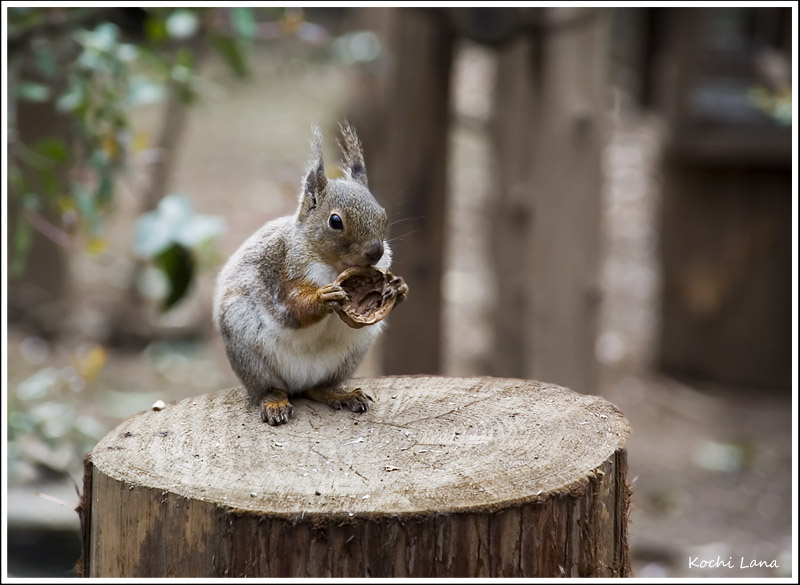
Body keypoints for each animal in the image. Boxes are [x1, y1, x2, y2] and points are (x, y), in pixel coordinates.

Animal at [211, 123, 406, 424]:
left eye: (383, 215)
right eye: (335, 221)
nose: (375, 252)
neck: (335, 266)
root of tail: (298, 383)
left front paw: (398, 288)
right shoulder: (284, 269)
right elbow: (294, 308)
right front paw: (324, 298)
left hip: (347, 357)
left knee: (318, 388)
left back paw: (340, 394)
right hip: (248, 348)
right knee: (269, 388)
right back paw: (274, 402)